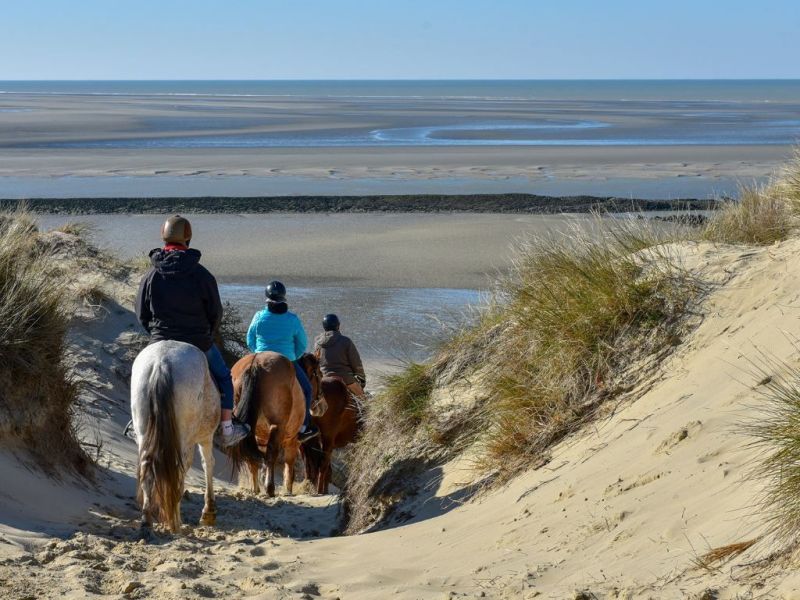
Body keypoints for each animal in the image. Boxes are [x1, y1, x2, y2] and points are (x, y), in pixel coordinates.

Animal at [131, 340, 220, 532]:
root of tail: (161, 362)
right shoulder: (206, 437)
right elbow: (208, 463)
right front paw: (208, 512)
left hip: (143, 429)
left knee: (147, 469)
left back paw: (147, 520)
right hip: (184, 439)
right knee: (178, 472)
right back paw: (175, 522)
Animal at [228, 352, 324, 496]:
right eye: (319, 374)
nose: (322, 405)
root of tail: (256, 363)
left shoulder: (260, 436)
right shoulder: (293, 441)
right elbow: (289, 466)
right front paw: (288, 490)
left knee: (252, 456)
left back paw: (255, 489)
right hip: (277, 426)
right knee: (271, 454)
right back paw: (269, 488)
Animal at [296, 356, 362, 492]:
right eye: (319, 374)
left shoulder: (323, 441)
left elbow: (317, 466)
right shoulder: (319, 441)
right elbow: (314, 465)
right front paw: (317, 490)